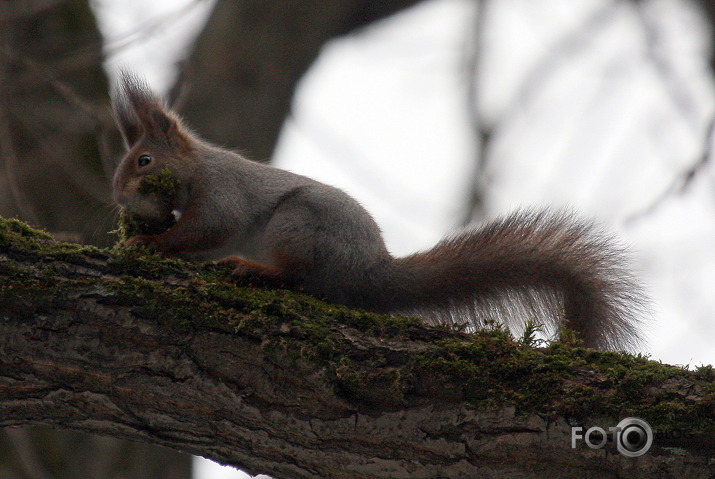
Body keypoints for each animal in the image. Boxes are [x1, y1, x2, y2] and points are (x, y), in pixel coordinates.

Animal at [112, 73, 648, 354]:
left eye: (144, 161)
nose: (118, 196)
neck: (199, 166)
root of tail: (371, 273)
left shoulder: (223, 195)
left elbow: (208, 229)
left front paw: (149, 242)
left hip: (298, 224)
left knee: (297, 277)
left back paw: (253, 269)